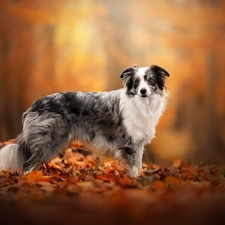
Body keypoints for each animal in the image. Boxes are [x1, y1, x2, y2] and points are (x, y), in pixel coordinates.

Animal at [0, 64, 169, 177]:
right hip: (50, 140)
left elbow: (138, 165)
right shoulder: (128, 144)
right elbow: (133, 167)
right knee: (27, 164)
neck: (142, 104)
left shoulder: (138, 144)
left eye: (151, 80)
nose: (143, 91)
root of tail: (34, 106)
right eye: (136, 82)